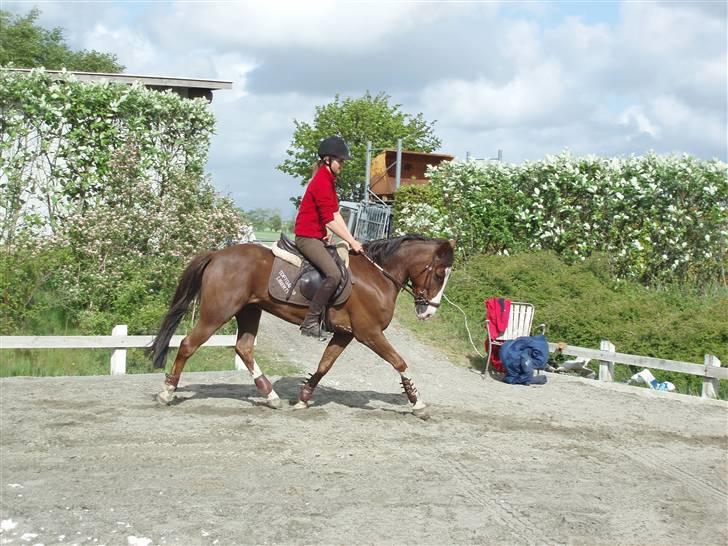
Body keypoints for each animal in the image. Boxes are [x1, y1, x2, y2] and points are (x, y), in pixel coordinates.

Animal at [148, 233, 456, 416]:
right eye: (440, 274)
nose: (428, 313)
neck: (378, 276)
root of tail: (217, 255)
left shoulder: (346, 334)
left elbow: (324, 365)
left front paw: (304, 397)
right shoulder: (369, 333)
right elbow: (399, 362)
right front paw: (417, 402)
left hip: (249, 311)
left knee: (244, 348)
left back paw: (270, 395)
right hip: (217, 312)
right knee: (188, 345)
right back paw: (167, 392)